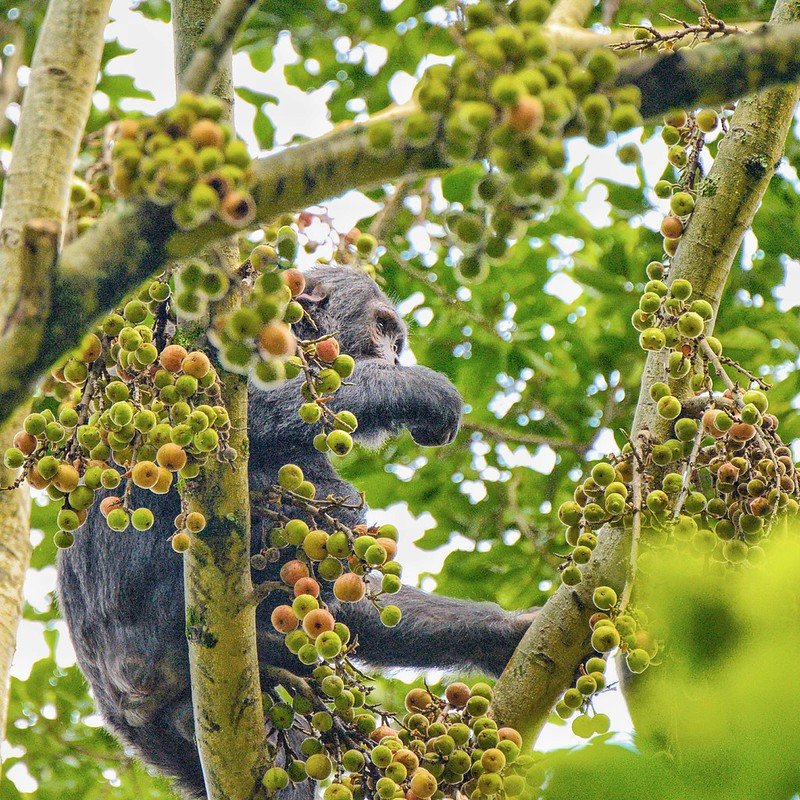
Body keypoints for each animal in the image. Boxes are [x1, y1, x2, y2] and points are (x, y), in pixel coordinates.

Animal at [56, 266, 537, 798]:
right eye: (382, 327)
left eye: (397, 341)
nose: (393, 357)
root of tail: (126, 706)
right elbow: (221, 413)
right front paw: (425, 389)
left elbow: (351, 606)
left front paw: (506, 632)